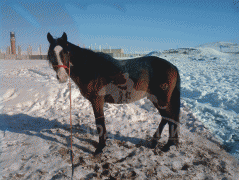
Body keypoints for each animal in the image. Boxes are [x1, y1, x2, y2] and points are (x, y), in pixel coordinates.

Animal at [47, 32, 181, 155]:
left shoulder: (97, 101)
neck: (90, 68)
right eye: (51, 53)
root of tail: (173, 67)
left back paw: (167, 145)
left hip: (160, 99)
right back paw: (155, 142)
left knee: (170, 117)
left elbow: (100, 122)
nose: (62, 77)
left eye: (66, 52)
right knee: (166, 118)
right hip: (157, 99)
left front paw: (100, 147)